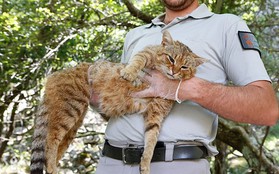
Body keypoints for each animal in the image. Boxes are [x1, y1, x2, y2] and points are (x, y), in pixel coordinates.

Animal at [30, 30, 208, 173]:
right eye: (171, 59)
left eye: (184, 67)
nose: (174, 71)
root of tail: (55, 75)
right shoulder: (147, 52)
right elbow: (137, 60)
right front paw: (128, 73)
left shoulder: (155, 115)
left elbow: (151, 141)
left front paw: (145, 164)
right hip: (70, 108)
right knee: (50, 140)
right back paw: (52, 167)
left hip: (74, 122)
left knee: (55, 147)